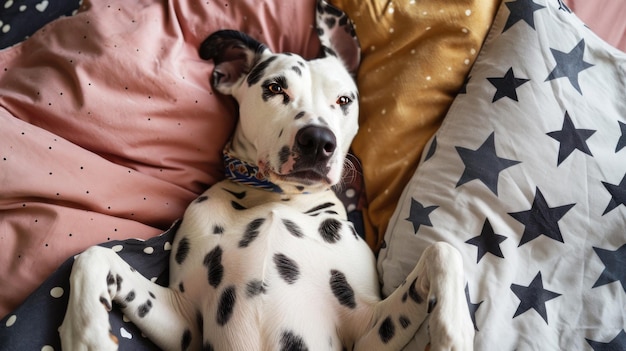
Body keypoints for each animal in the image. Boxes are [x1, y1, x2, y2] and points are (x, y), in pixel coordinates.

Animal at [58, 1, 470, 350]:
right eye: (274, 88)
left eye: (344, 100)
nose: (318, 141)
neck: (274, 198)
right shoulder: (185, 322)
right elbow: (93, 256)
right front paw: (86, 334)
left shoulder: (369, 329)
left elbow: (442, 250)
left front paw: (454, 333)